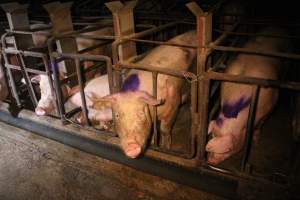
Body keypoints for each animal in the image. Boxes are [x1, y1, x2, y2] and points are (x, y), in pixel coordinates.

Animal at [90, 30, 196, 159]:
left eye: (141, 113)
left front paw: (166, 148)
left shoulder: (174, 103)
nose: (131, 147)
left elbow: (164, 129)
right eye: (117, 115)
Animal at [206, 27, 290, 165]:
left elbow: (260, 125)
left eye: (229, 149)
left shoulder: (271, 106)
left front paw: (256, 141)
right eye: (212, 135)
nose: (210, 161)